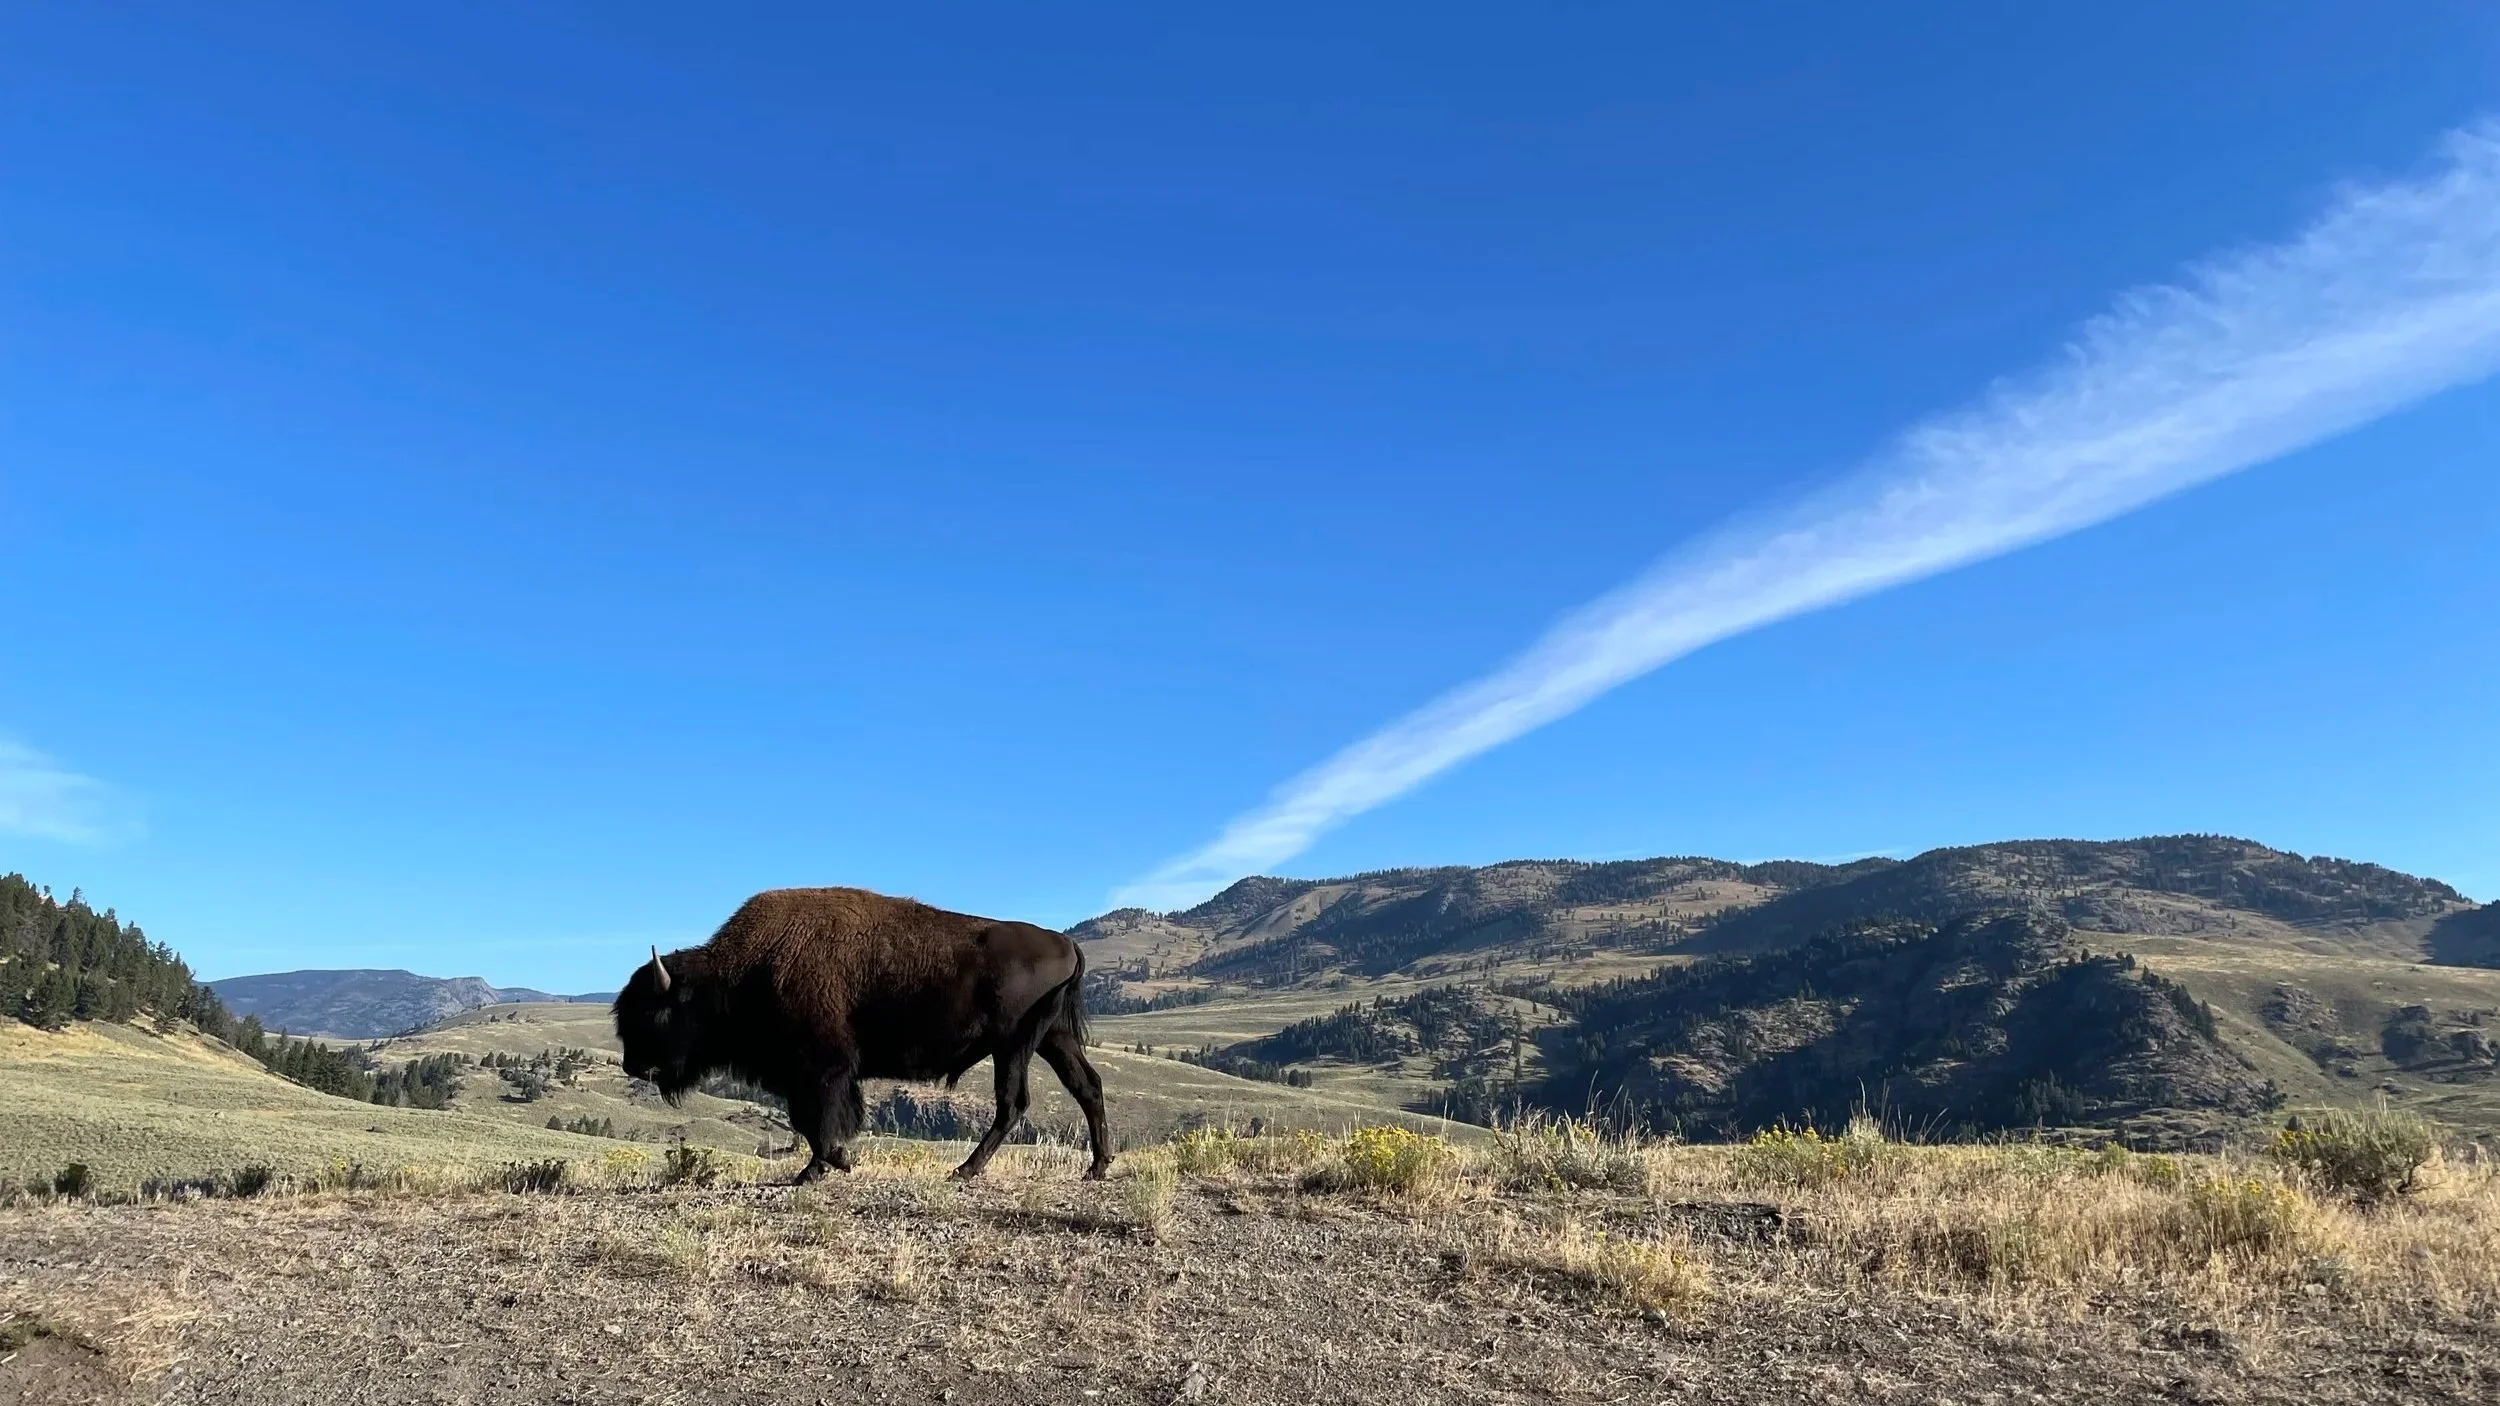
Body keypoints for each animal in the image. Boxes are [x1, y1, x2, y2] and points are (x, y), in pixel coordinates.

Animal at [612, 887, 1111, 1182]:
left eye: (654, 1012)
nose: (632, 1064)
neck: (740, 973)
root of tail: (1065, 942)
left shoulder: (820, 1068)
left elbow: (816, 1119)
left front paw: (826, 1164)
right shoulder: (816, 1073)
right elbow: (815, 1120)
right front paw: (831, 1162)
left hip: (1014, 1044)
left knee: (1013, 1104)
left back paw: (965, 1171)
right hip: (1053, 1039)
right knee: (1087, 1087)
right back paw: (1097, 1167)